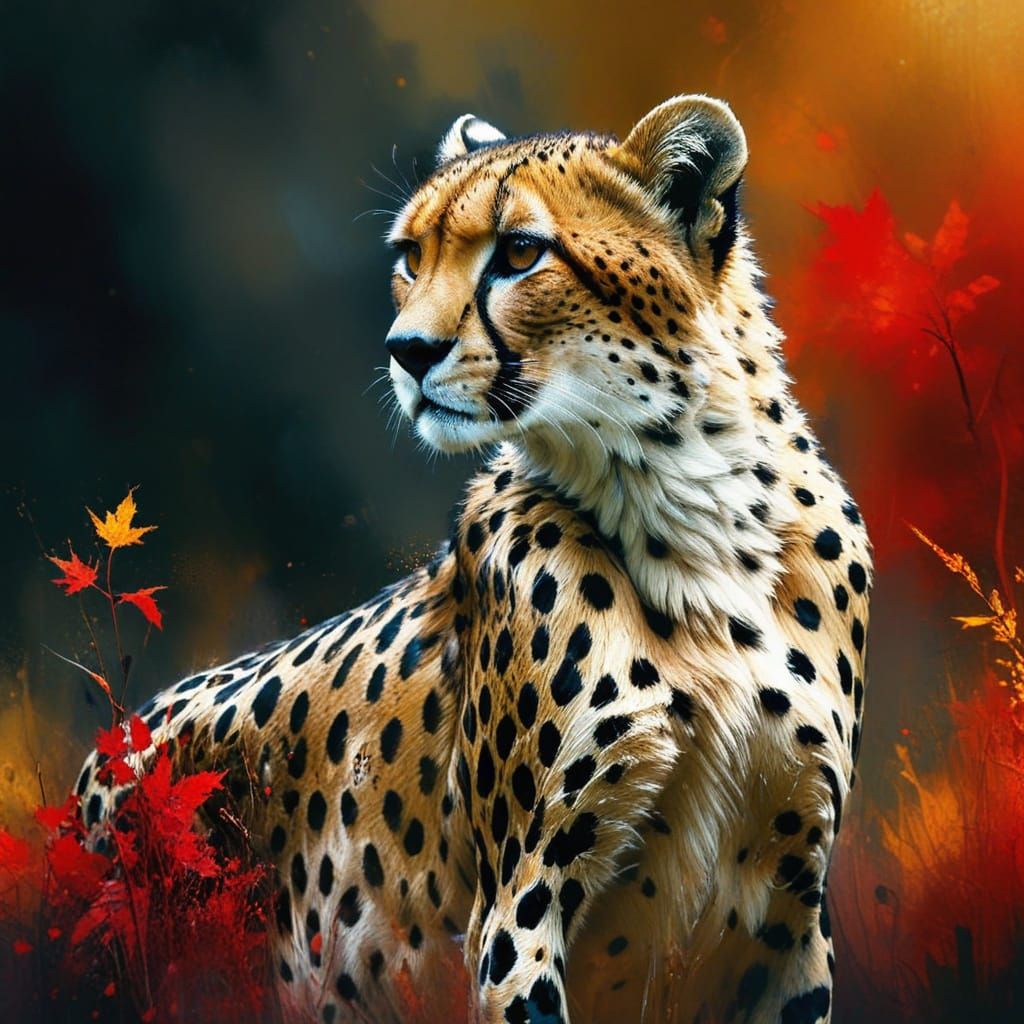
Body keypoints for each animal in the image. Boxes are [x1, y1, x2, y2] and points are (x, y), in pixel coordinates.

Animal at [76, 95, 871, 1024]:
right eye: (410, 257)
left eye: (520, 252)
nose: (406, 350)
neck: (700, 520)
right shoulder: (521, 908)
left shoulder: (790, 911)